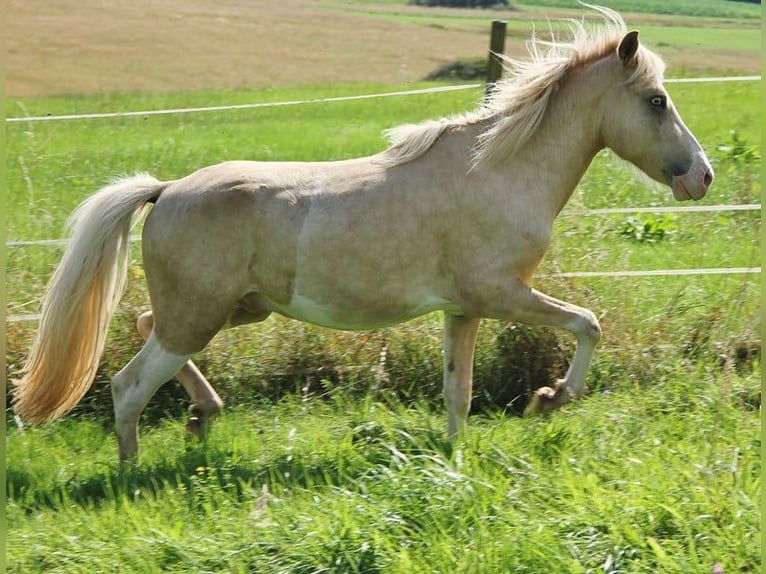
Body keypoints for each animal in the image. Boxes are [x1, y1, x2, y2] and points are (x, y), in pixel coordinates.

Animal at [15, 7, 712, 464]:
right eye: (655, 100)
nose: (701, 176)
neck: (497, 170)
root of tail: (165, 190)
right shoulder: (499, 294)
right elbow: (587, 323)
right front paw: (550, 398)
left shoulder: (463, 310)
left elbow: (457, 394)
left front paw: (455, 461)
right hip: (200, 315)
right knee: (128, 385)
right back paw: (133, 472)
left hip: (233, 310)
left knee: (140, 326)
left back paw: (201, 416)